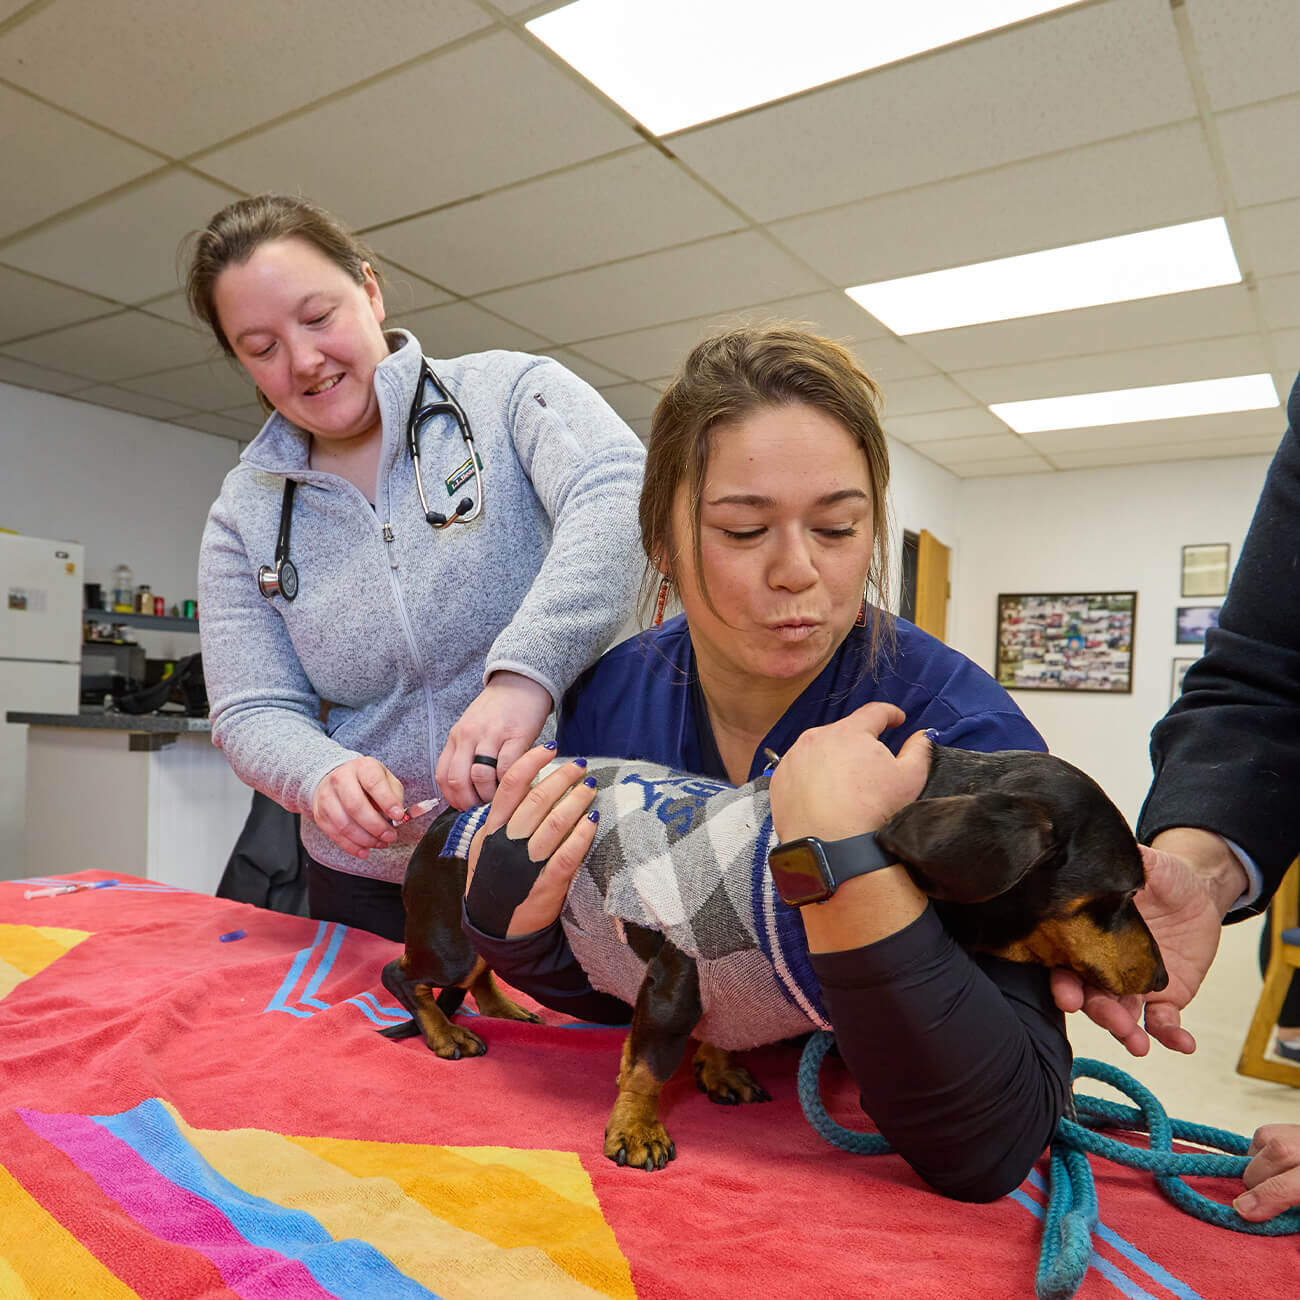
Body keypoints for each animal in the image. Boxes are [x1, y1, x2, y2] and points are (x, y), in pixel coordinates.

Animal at [377, 748, 1170, 1175]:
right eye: (1118, 898)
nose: (1163, 980)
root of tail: (451, 813)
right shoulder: (675, 980)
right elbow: (648, 1063)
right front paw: (636, 1129)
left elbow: (714, 1035)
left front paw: (720, 1071)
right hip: (446, 940)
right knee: (403, 974)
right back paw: (446, 1034)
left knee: (477, 970)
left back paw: (504, 1008)